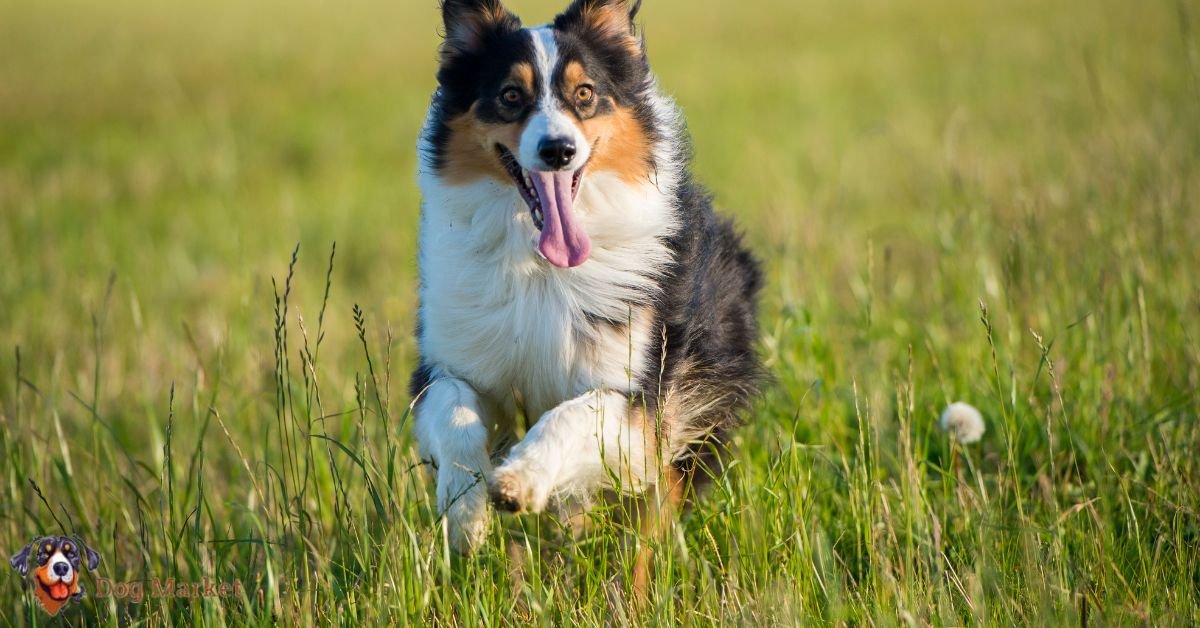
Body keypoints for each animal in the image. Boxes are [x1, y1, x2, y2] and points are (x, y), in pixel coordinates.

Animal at [412, 0, 763, 590]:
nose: (558, 150)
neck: (539, 265)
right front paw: (465, 509)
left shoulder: (638, 398)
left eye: (584, 93)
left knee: (646, 529)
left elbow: (574, 412)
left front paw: (519, 480)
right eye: (511, 95)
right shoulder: (452, 363)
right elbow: (455, 409)